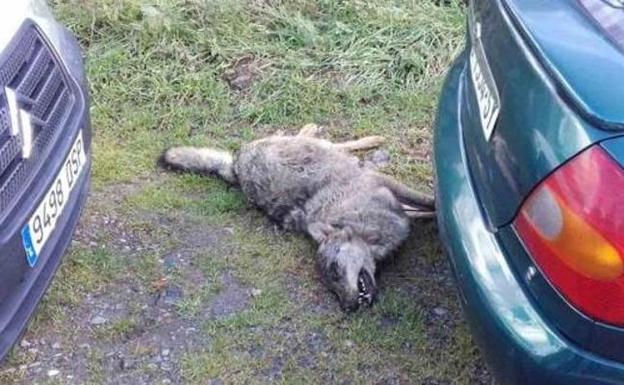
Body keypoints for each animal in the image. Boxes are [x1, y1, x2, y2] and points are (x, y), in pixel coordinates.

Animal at [162, 124, 434, 310]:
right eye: (331, 288)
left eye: (335, 270)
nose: (348, 308)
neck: (356, 221)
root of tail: (235, 166)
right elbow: (421, 211)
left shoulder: (389, 187)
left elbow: (426, 202)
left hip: (315, 149)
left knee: (324, 140)